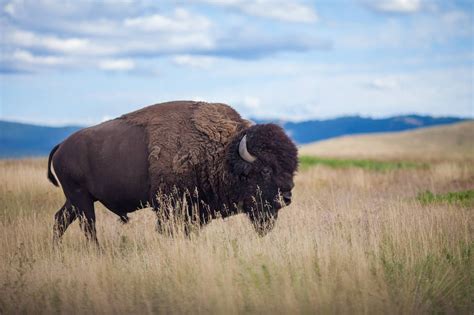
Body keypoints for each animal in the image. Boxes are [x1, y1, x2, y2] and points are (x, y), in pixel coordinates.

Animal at [49, 100, 300, 244]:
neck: (221, 154)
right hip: (81, 199)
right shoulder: (170, 207)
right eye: (265, 170)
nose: (286, 197)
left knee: (60, 219)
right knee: (88, 226)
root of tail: (61, 146)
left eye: (292, 169)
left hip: (76, 200)